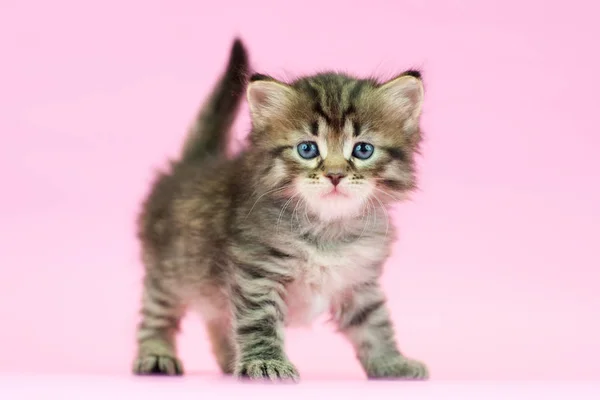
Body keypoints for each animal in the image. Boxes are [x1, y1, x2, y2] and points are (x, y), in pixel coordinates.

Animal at [134, 37, 428, 382]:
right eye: (307, 149)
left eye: (363, 150)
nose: (335, 175)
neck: (327, 228)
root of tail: (191, 164)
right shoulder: (257, 272)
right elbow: (258, 322)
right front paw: (265, 362)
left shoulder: (358, 281)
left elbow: (374, 324)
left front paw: (392, 362)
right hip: (168, 271)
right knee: (157, 315)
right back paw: (156, 354)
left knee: (218, 321)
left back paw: (230, 361)